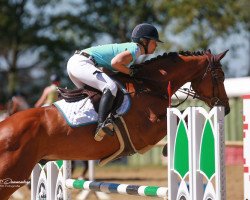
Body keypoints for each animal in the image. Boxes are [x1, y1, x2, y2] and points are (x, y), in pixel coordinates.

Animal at [0, 49, 230, 199]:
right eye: (219, 76)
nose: (226, 108)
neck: (149, 87)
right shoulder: (146, 132)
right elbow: (181, 116)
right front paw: (166, 149)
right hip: (11, 175)